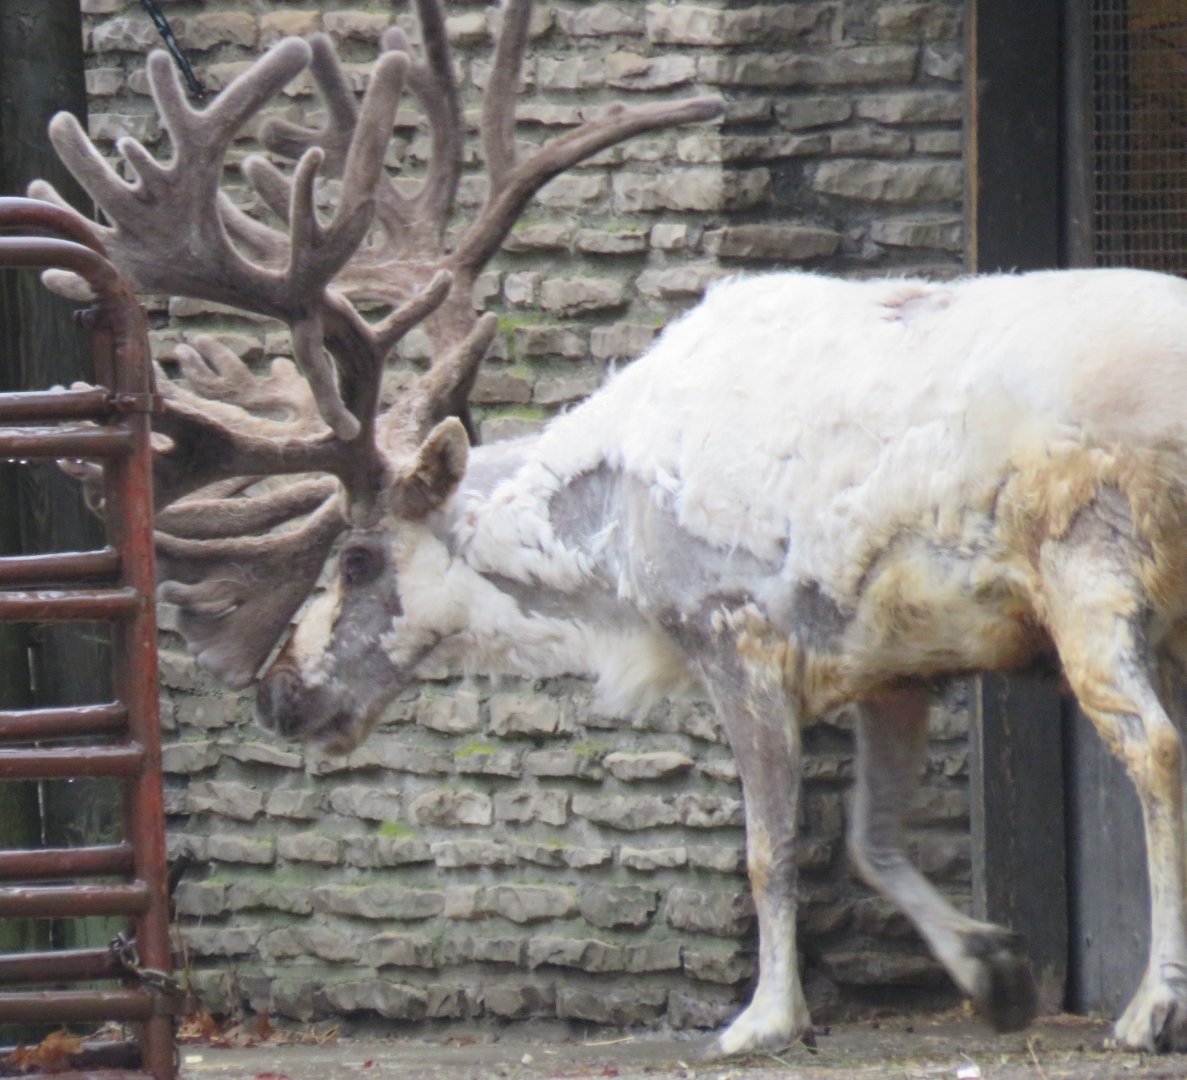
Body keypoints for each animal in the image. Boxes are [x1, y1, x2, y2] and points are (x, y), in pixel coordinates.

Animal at [29, 0, 1187, 1062]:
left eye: (355, 557)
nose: (278, 693)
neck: (605, 548)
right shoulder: (893, 666)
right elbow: (874, 842)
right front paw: (990, 970)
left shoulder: (731, 631)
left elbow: (768, 848)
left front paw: (762, 1019)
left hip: (1090, 569)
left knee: (1154, 747)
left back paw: (1146, 1007)